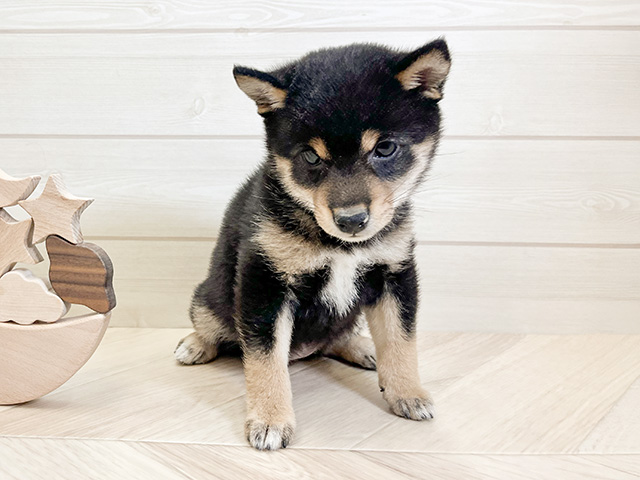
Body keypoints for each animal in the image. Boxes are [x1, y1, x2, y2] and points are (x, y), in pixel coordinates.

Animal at [176, 39, 450, 452]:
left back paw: (363, 348)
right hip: (208, 298)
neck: (340, 246)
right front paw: (271, 420)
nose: (351, 220)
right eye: (310, 156)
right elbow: (265, 361)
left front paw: (407, 392)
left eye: (385, 148)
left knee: (335, 337)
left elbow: (401, 341)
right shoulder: (265, 282)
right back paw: (195, 345)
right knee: (212, 327)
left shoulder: (394, 273)